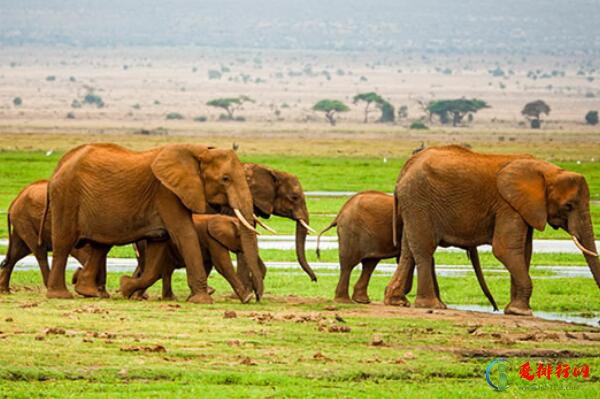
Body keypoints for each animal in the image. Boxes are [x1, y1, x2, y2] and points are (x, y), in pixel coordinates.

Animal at [119, 216, 253, 304]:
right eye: (240, 236)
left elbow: (207, 265)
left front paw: (196, 296)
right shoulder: (213, 240)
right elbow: (222, 265)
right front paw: (248, 298)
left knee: (161, 271)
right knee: (156, 270)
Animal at [316, 191, 500, 310]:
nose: (495, 308)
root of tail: (339, 214)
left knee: (369, 263)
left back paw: (362, 301)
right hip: (351, 232)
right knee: (349, 264)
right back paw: (345, 302)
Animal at [384, 145, 600, 318]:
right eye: (569, 206)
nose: (495, 307)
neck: (548, 171)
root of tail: (405, 168)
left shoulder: (523, 208)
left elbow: (524, 251)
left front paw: (513, 309)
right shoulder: (508, 205)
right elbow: (505, 250)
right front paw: (521, 312)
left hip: (413, 204)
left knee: (408, 249)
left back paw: (397, 301)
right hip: (419, 200)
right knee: (424, 248)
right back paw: (433, 305)